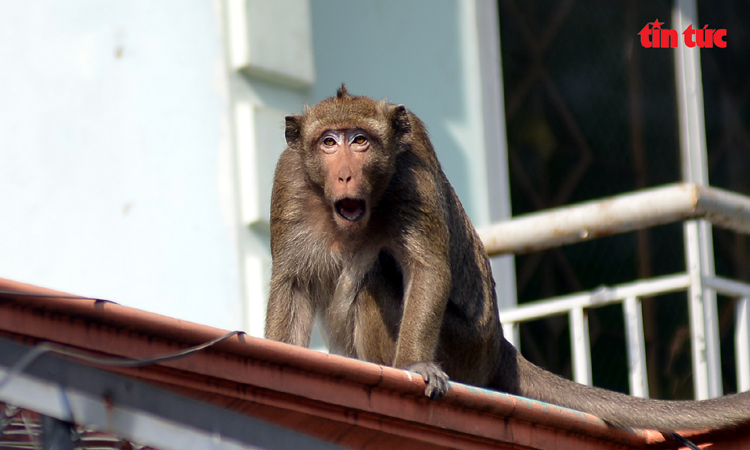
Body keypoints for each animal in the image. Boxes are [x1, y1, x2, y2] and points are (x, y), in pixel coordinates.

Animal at [268, 85, 750, 432]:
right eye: (328, 142)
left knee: (381, 272)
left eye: (360, 141)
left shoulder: (410, 173)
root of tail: (498, 343)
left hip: (462, 348)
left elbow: (427, 268)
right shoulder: (288, 180)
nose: (346, 175)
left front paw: (411, 366)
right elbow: (291, 283)